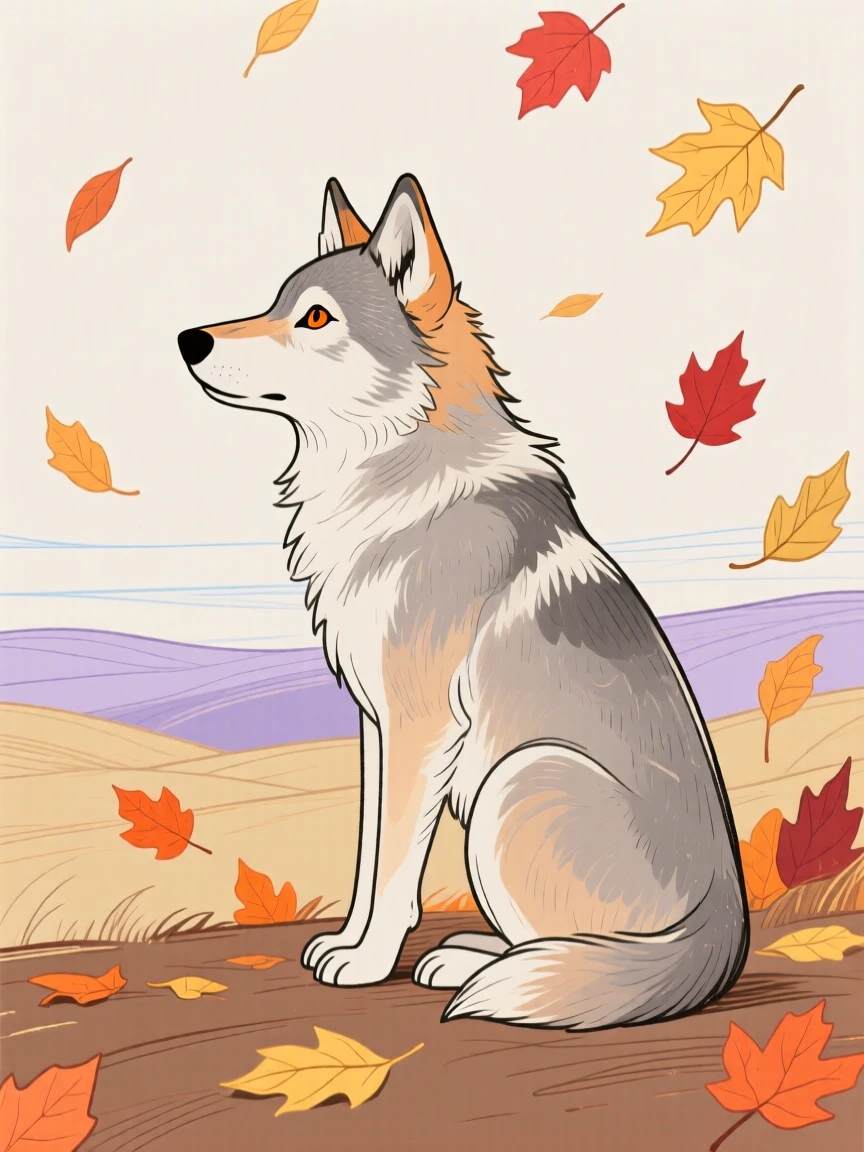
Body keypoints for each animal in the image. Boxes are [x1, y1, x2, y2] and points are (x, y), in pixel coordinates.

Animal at [177, 174, 749, 1030]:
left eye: (315, 317)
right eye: (277, 301)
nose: (189, 340)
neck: (397, 478)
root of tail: (724, 929)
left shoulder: (418, 725)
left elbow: (392, 872)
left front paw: (366, 964)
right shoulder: (377, 723)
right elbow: (368, 858)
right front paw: (347, 943)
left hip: (518, 780)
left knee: (582, 959)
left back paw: (482, 969)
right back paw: (470, 957)